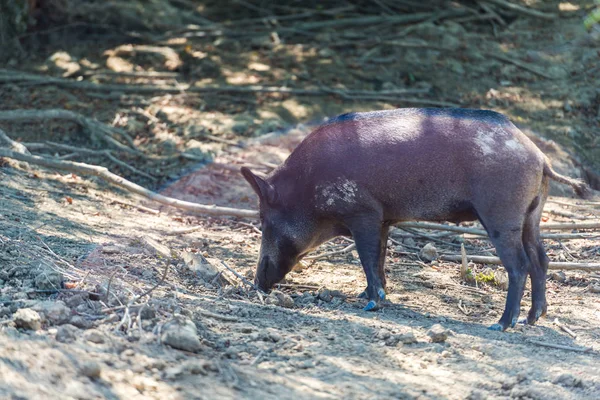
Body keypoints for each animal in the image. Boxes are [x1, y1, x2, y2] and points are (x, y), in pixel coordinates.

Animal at [240, 108, 592, 332]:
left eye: (263, 216)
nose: (256, 282)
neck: (308, 187)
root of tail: (540, 158)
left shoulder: (363, 213)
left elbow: (366, 258)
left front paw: (371, 305)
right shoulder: (384, 220)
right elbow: (379, 258)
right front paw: (365, 297)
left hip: (501, 214)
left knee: (519, 264)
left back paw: (501, 325)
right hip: (532, 215)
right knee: (541, 258)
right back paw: (533, 319)